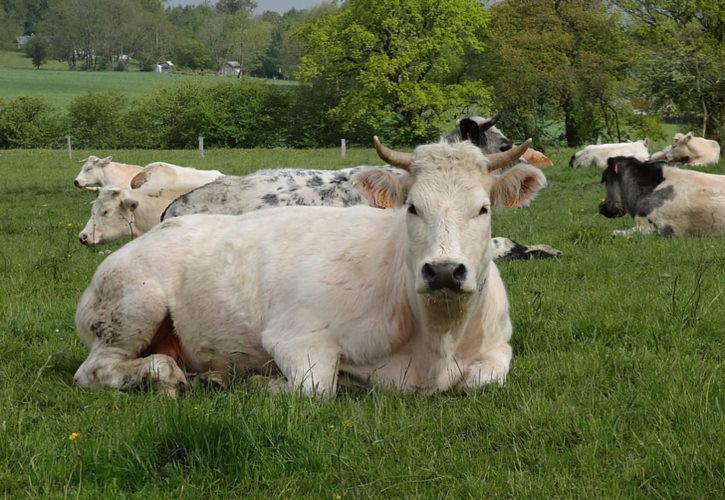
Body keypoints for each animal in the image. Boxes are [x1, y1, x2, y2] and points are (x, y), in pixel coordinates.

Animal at [75, 139, 548, 396]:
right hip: (133, 307)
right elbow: (316, 386)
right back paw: (167, 376)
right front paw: (260, 383)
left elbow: (483, 378)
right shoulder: (294, 336)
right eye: (412, 207)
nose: (446, 271)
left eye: (484, 208)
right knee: (96, 369)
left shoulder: (498, 347)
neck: (438, 335)